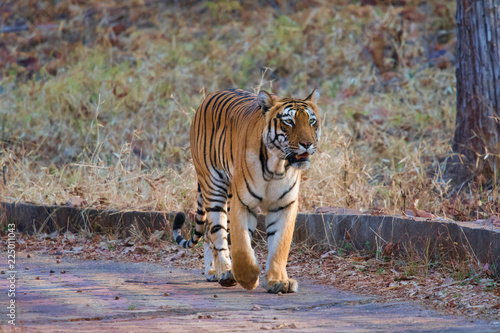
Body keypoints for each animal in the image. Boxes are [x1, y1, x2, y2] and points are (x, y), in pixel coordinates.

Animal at [172, 88, 320, 294]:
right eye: (289, 121)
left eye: (312, 121)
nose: (308, 143)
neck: (277, 166)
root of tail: (208, 97)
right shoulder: (243, 202)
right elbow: (242, 245)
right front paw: (248, 277)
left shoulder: (284, 205)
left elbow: (280, 245)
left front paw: (278, 281)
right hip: (214, 188)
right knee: (217, 234)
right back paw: (224, 272)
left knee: (210, 233)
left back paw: (213, 271)